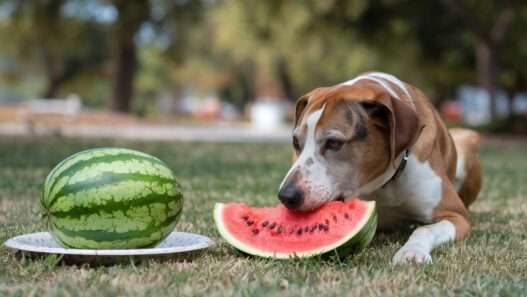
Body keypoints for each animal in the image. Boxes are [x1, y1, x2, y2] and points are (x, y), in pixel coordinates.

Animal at [280, 71, 482, 264]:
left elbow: (424, 230)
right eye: (296, 142)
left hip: (467, 137)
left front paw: (412, 251)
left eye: (334, 143)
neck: (382, 184)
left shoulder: (456, 216)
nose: (286, 196)